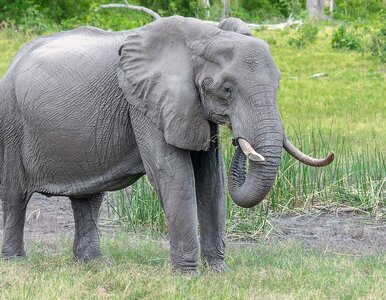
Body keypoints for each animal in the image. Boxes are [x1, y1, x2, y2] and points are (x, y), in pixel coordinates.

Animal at [0, 17, 334, 274]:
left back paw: (95, 264)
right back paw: (16, 261)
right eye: (227, 89)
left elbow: (212, 180)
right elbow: (173, 174)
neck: (203, 36)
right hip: (11, 120)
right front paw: (187, 276)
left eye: (278, 84)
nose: (239, 141)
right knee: (15, 196)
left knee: (89, 197)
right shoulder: (144, 103)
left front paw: (218, 272)